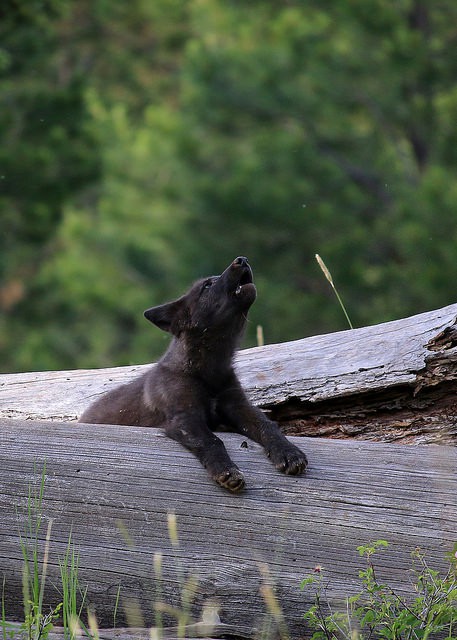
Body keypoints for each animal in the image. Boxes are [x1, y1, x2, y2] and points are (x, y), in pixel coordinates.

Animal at [79, 257, 308, 491]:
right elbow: (212, 440)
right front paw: (226, 470)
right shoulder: (185, 418)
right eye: (207, 285)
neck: (209, 369)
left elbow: (267, 426)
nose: (242, 259)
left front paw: (289, 453)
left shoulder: (238, 406)